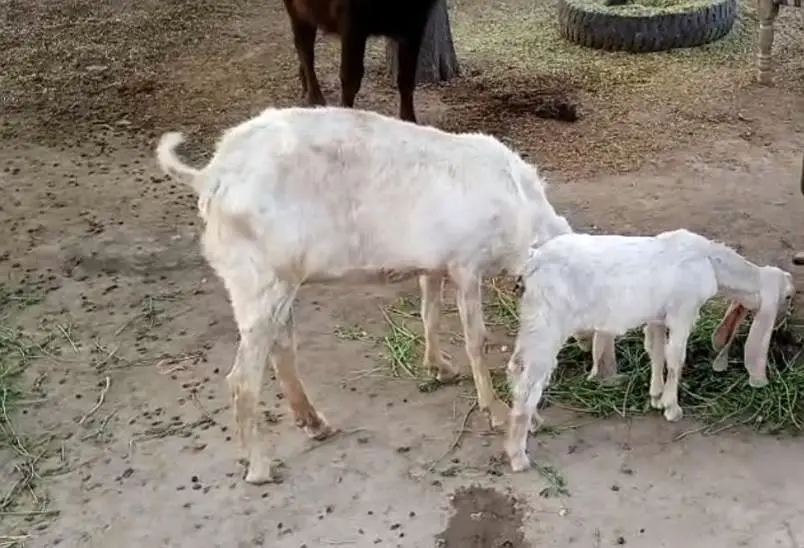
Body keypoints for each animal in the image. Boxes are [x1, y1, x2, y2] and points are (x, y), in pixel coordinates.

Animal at [155, 105, 572, 484]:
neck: (521, 211)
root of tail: (210, 176)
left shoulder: (434, 264)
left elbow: (430, 312)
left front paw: (438, 366)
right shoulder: (466, 265)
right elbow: (476, 341)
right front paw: (495, 409)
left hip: (279, 284)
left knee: (282, 349)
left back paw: (315, 423)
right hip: (257, 282)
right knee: (242, 379)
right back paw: (260, 468)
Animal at [282, 0, 440, 123]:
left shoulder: (415, 26)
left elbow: (407, 80)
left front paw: (409, 121)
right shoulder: (352, 22)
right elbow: (350, 78)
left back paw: (305, 87)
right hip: (296, 10)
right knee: (305, 50)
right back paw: (315, 99)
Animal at [504, 229, 794, 473]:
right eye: (787, 296)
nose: (785, 324)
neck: (710, 261)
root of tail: (532, 262)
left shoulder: (657, 317)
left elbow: (656, 352)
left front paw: (656, 395)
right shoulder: (682, 312)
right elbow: (676, 357)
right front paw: (671, 407)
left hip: (532, 321)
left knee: (516, 367)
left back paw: (535, 422)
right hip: (547, 324)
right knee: (529, 382)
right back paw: (518, 456)